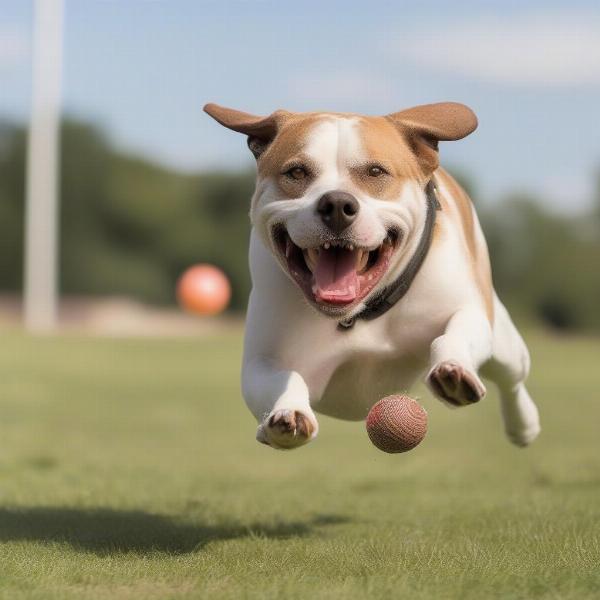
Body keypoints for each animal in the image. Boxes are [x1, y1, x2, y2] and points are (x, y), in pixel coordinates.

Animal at [205, 103, 540, 450]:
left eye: (376, 172)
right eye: (296, 172)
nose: (337, 203)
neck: (361, 311)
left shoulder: (467, 310)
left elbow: (455, 332)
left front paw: (454, 370)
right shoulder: (263, 359)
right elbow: (282, 377)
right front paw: (289, 415)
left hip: (504, 344)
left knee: (512, 377)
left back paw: (523, 425)